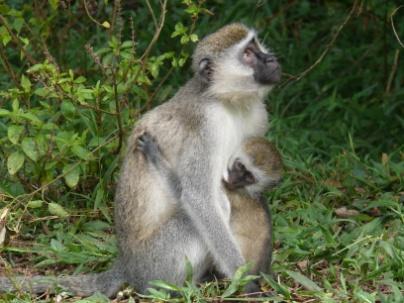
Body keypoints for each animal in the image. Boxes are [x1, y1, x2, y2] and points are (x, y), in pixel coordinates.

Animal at [137, 133, 282, 278]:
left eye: (249, 178)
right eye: (240, 166)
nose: (233, 179)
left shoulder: (225, 188)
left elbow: (187, 194)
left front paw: (154, 155)